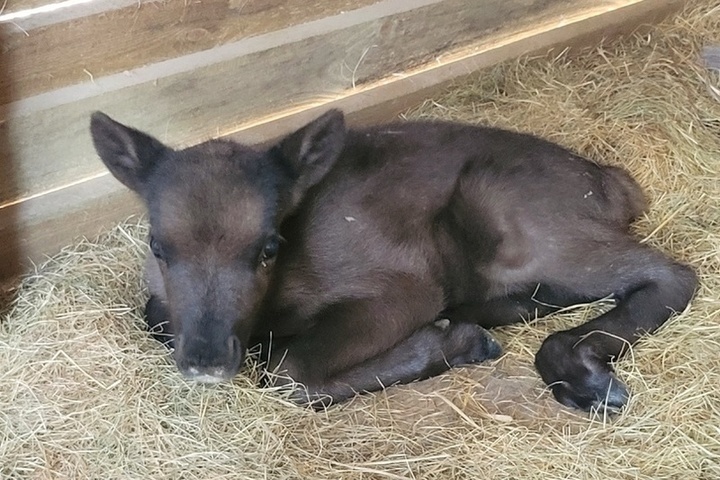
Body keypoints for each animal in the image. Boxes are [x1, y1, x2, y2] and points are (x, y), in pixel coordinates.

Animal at [90, 109, 696, 412]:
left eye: (268, 247)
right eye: (158, 245)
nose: (207, 359)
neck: (273, 312)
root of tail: (616, 185)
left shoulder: (402, 285)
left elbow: (288, 374)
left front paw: (451, 342)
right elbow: (154, 314)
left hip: (526, 225)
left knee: (671, 273)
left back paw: (581, 371)